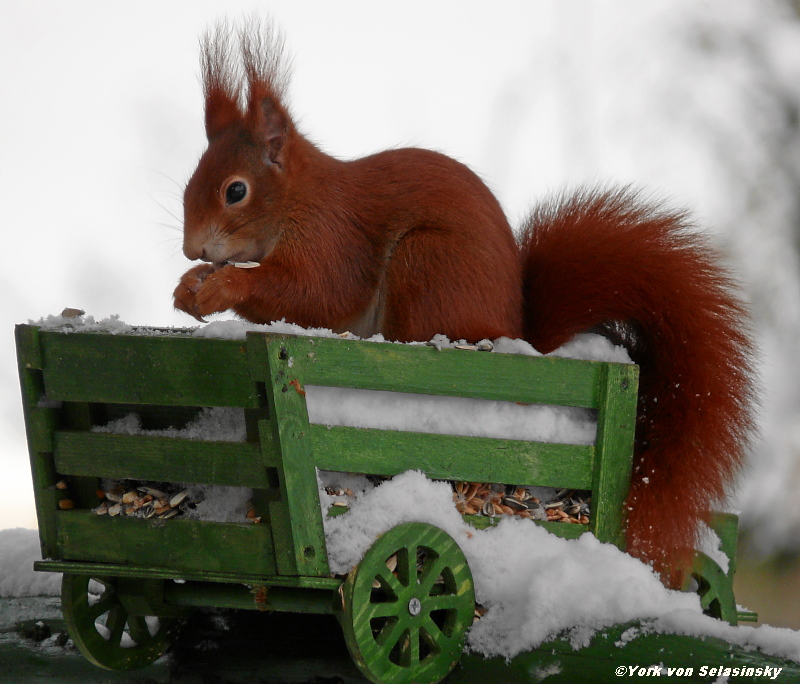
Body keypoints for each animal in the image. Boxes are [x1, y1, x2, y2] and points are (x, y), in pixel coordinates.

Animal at [175, 22, 756, 588]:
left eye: (235, 191)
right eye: (189, 184)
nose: (191, 249)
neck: (297, 201)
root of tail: (514, 333)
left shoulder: (333, 241)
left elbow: (313, 297)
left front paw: (223, 287)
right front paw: (188, 287)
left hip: (425, 264)